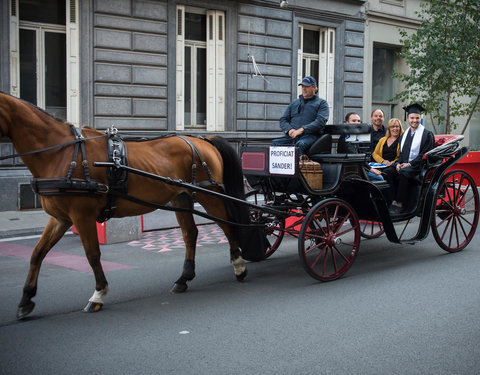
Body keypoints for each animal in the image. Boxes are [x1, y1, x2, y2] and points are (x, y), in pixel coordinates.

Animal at [0, 92, 258, 320]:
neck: (61, 153)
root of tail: (203, 140)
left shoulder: (82, 215)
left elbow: (92, 254)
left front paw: (98, 294)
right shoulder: (61, 218)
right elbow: (37, 253)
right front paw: (26, 300)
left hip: (209, 194)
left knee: (227, 226)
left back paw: (239, 266)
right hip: (182, 197)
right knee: (190, 233)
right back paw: (184, 278)